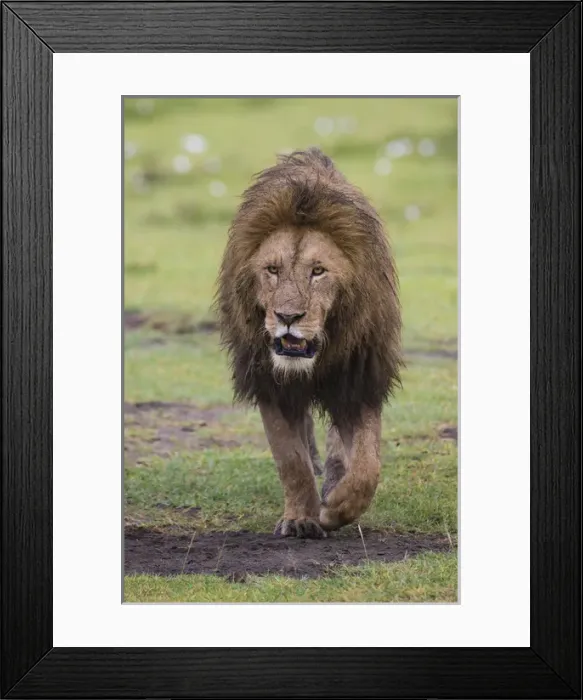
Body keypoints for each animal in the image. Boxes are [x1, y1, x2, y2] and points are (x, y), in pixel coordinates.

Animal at [215, 148, 401, 538]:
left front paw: (335, 509)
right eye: (272, 270)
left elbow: (367, 466)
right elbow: (291, 461)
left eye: (318, 271)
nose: (288, 316)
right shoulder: (270, 384)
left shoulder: (358, 379)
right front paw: (301, 518)